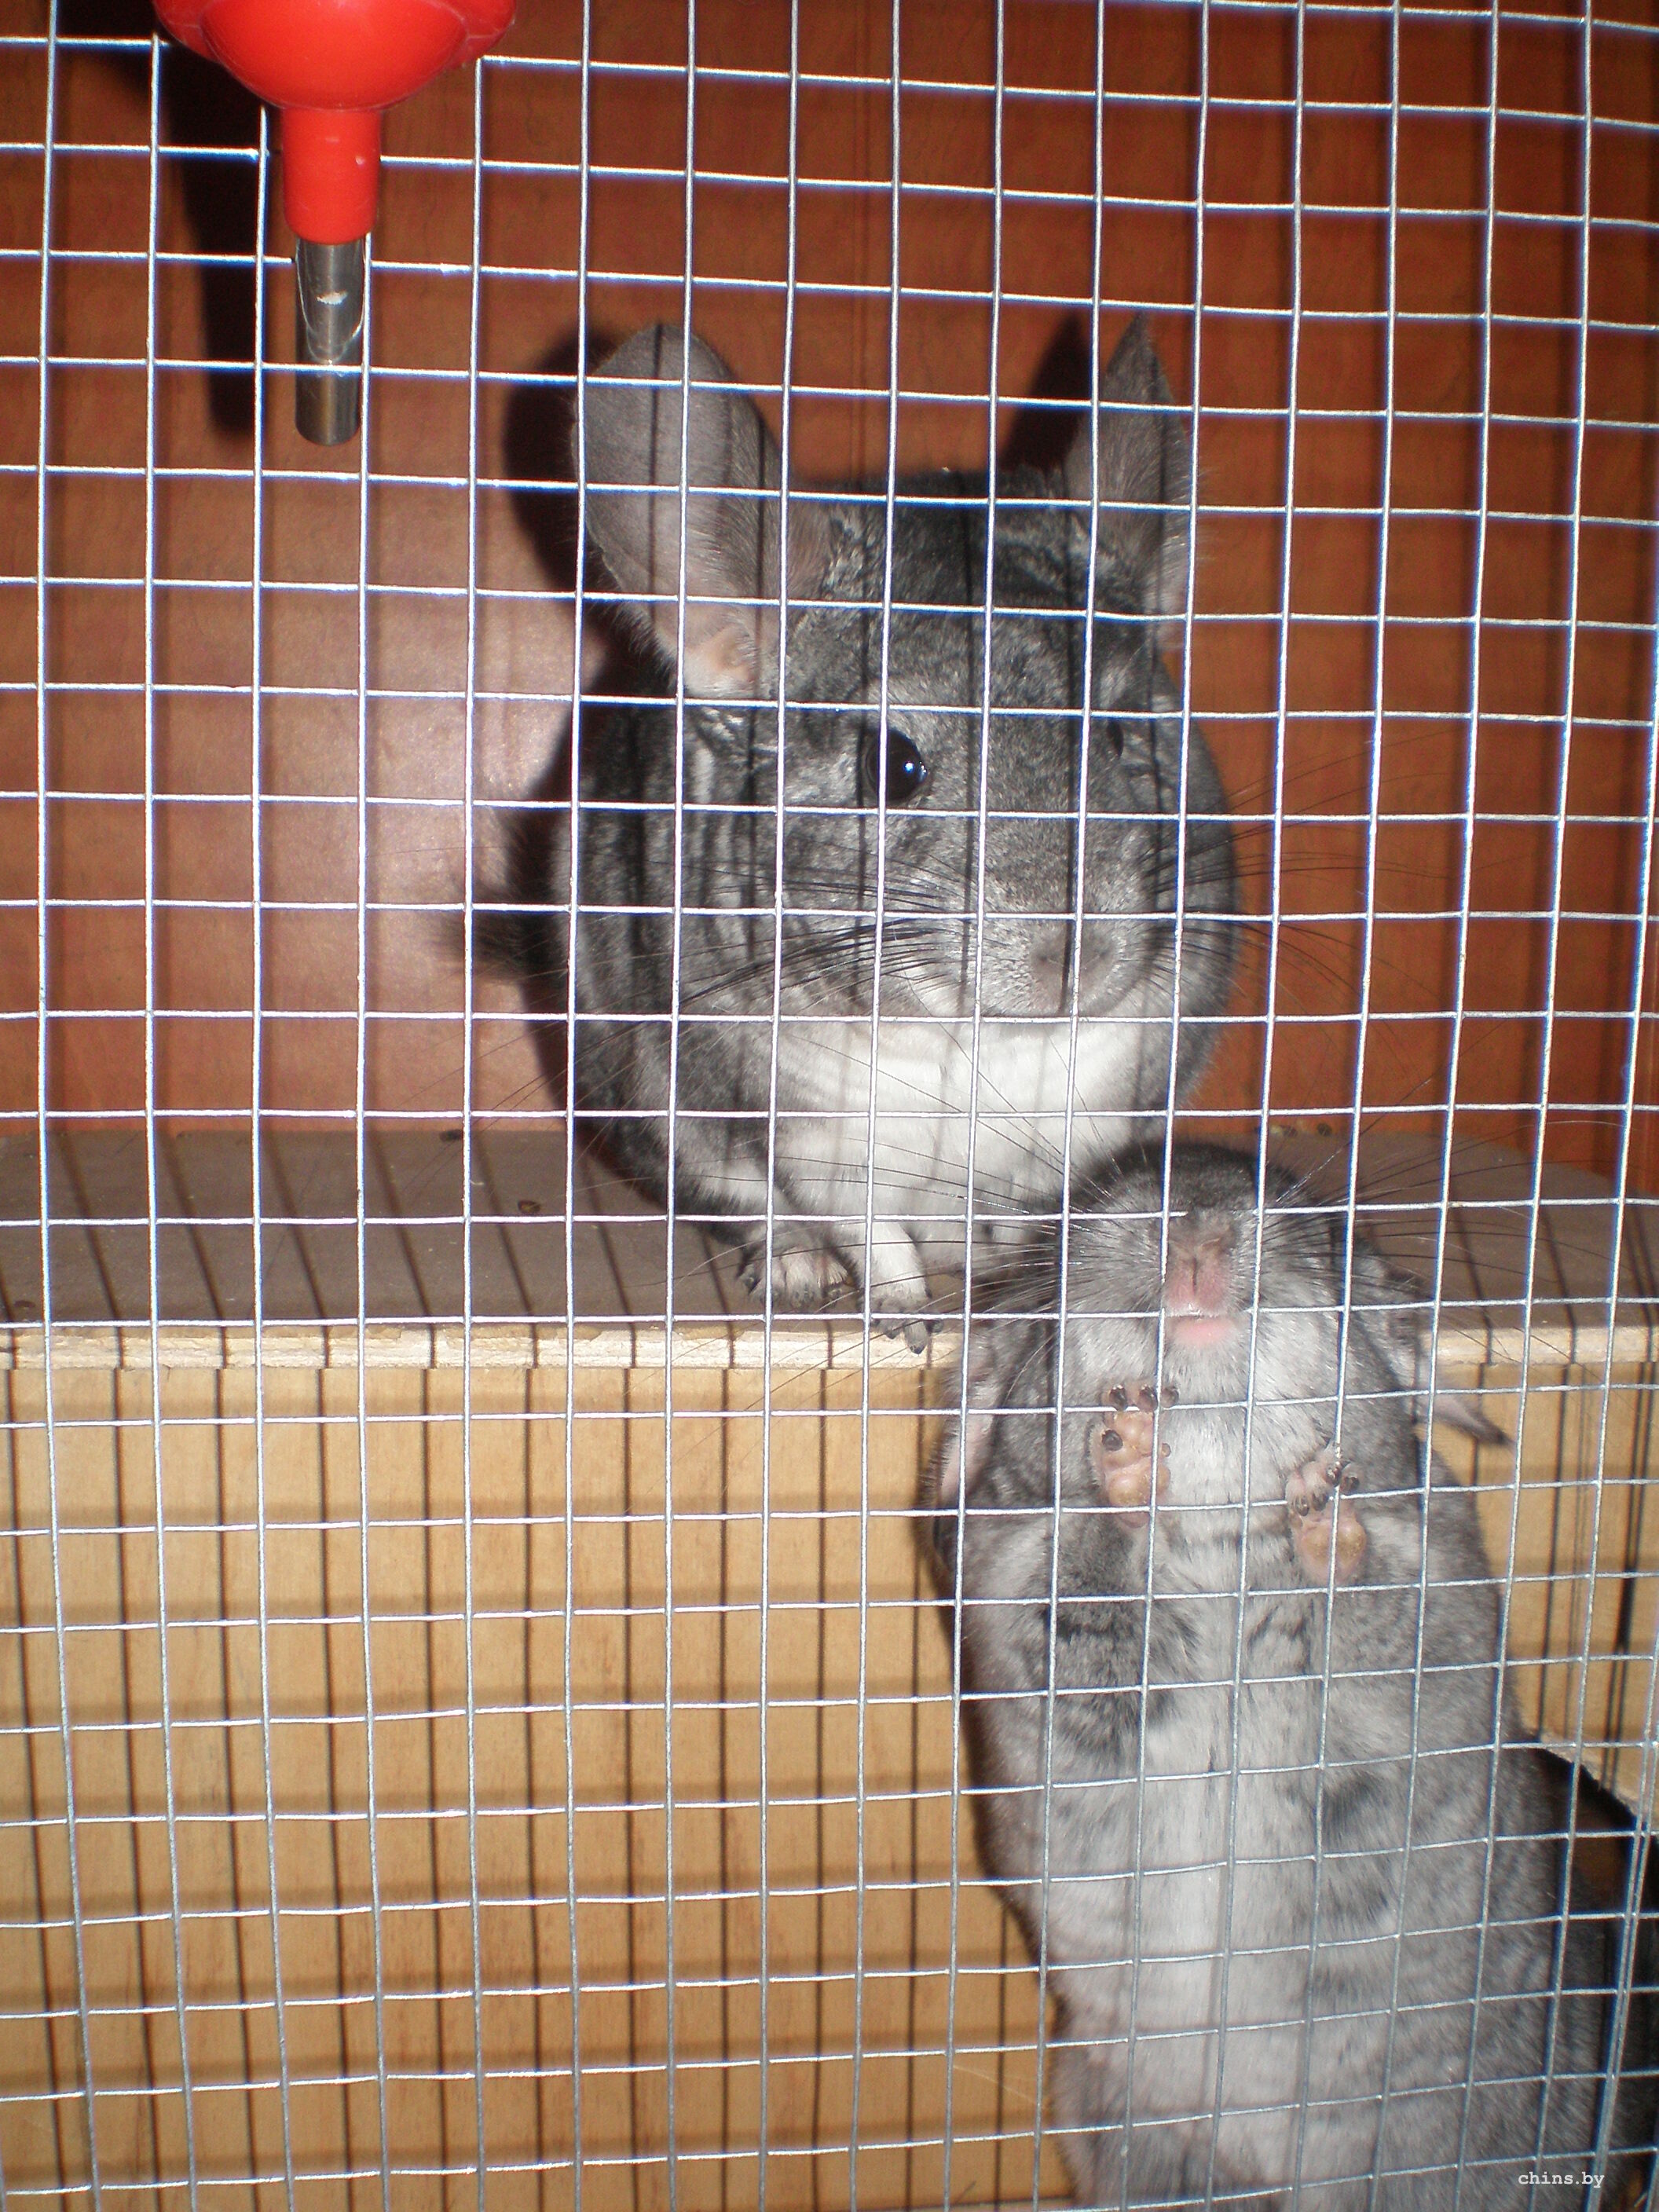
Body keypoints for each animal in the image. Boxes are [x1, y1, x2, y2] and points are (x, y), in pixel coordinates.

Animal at [483, 319, 1237, 1336]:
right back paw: (799, 1270)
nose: (1073, 956)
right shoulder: (821, 1141)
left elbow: (1057, 1219)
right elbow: (873, 1237)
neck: (978, 1040)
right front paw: (909, 1321)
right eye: (893, 766)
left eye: (1121, 735)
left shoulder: (1092, 1128)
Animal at [928, 1143, 1657, 2208]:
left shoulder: (1432, 1595)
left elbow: (1368, 1590)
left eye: (1320, 1223)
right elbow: (1090, 1557)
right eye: (1089, 1207)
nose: (1196, 1226)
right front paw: (1127, 1455)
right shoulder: (1015, 1587)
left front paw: (1323, 1507)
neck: (1218, 1546)